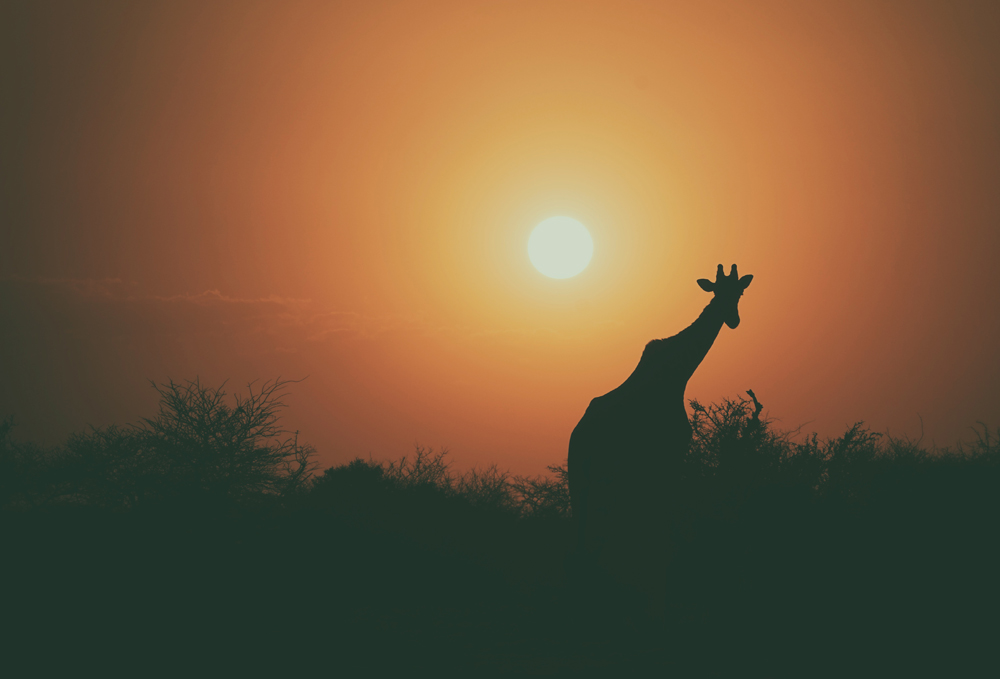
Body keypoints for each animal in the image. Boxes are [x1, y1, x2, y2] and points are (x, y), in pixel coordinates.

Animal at [568, 264, 752, 600]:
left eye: (740, 292)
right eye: (717, 292)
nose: (733, 320)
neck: (678, 373)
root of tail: (578, 437)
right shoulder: (671, 452)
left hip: (582, 477)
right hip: (602, 476)